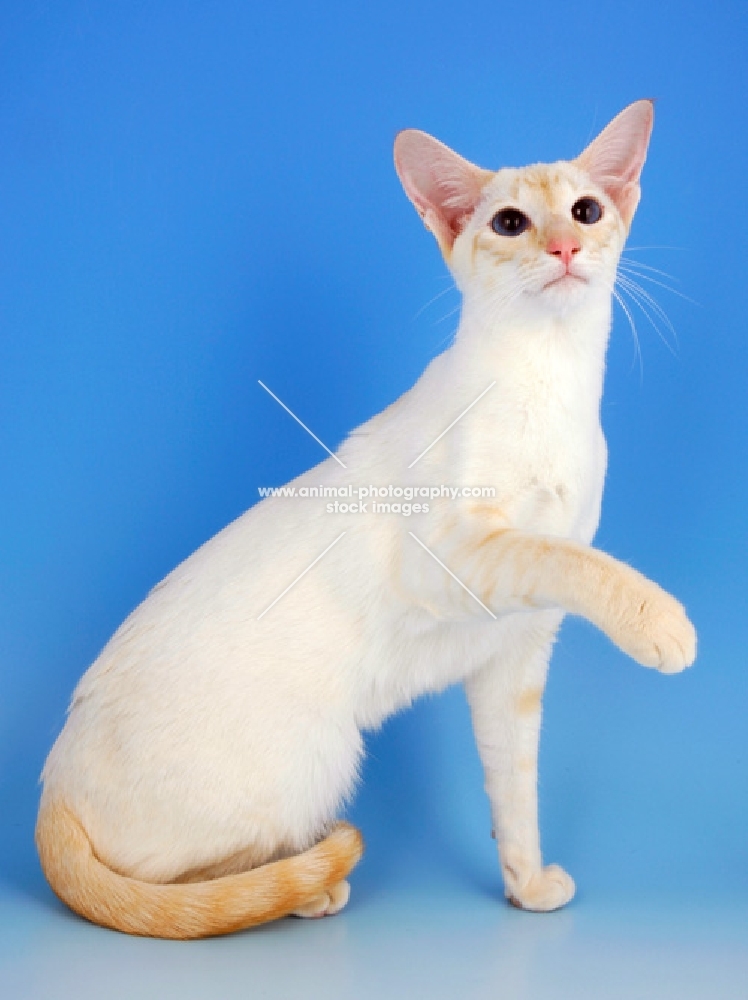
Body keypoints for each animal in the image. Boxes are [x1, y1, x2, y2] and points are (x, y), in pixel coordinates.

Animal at [35, 101, 700, 936]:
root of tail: (51, 785)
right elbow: (573, 560)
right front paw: (663, 626)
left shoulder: (515, 652)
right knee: (175, 887)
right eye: (511, 223)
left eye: (586, 211)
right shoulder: (458, 555)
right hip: (316, 759)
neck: (552, 381)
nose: (565, 246)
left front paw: (524, 887)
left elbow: (514, 789)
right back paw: (308, 887)